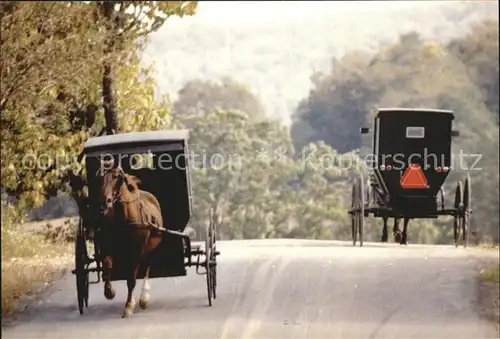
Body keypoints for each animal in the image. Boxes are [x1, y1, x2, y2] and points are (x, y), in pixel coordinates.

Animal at [97, 167, 166, 318]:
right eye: (101, 177)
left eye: (116, 177)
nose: (105, 202)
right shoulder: (108, 248)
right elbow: (107, 266)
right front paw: (109, 292)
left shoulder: (136, 252)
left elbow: (131, 280)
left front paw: (128, 306)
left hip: (150, 249)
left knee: (146, 267)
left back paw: (144, 298)